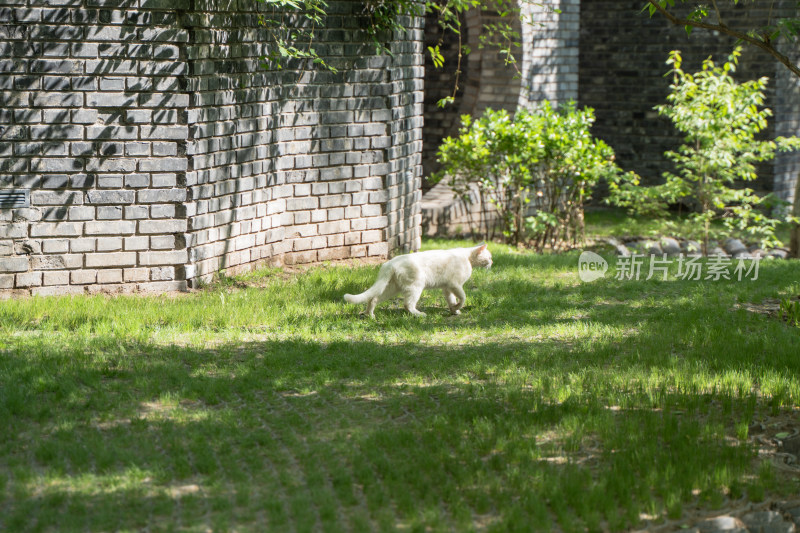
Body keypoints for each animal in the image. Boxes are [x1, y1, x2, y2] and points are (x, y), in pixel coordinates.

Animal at [346, 244, 494, 316]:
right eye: (489, 257)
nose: (492, 262)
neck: (467, 258)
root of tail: (390, 263)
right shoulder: (455, 285)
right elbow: (463, 298)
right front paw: (457, 308)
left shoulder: (447, 288)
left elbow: (451, 300)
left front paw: (454, 311)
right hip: (416, 286)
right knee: (407, 305)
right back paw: (419, 314)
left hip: (391, 288)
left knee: (373, 298)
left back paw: (369, 315)